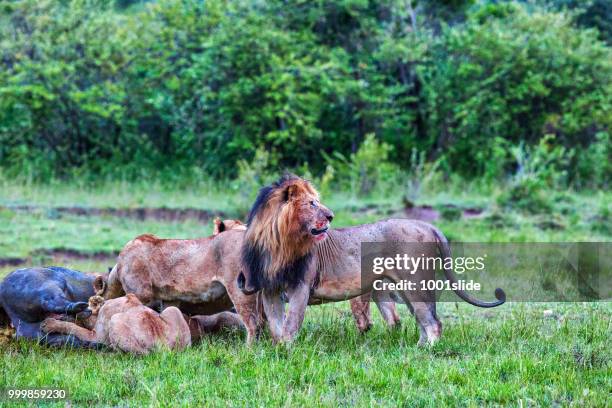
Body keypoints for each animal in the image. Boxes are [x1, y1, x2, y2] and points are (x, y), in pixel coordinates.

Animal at [41, 294, 189, 354]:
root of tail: (161, 343)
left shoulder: (97, 335)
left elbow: (74, 327)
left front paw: (48, 324)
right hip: (173, 310)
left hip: (115, 319)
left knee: (142, 354)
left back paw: (112, 349)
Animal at [239, 174, 506, 346]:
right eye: (311, 203)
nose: (331, 216)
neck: (278, 242)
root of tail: (427, 225)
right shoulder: (270, 289)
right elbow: (276, 325)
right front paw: (277, 351)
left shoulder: (301, 286)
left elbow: (291, 323)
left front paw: (287, 351)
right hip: (406, 288)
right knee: (423, 320)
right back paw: (418, 348)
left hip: (415, 283)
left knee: (433, 323)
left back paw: (425, 352)